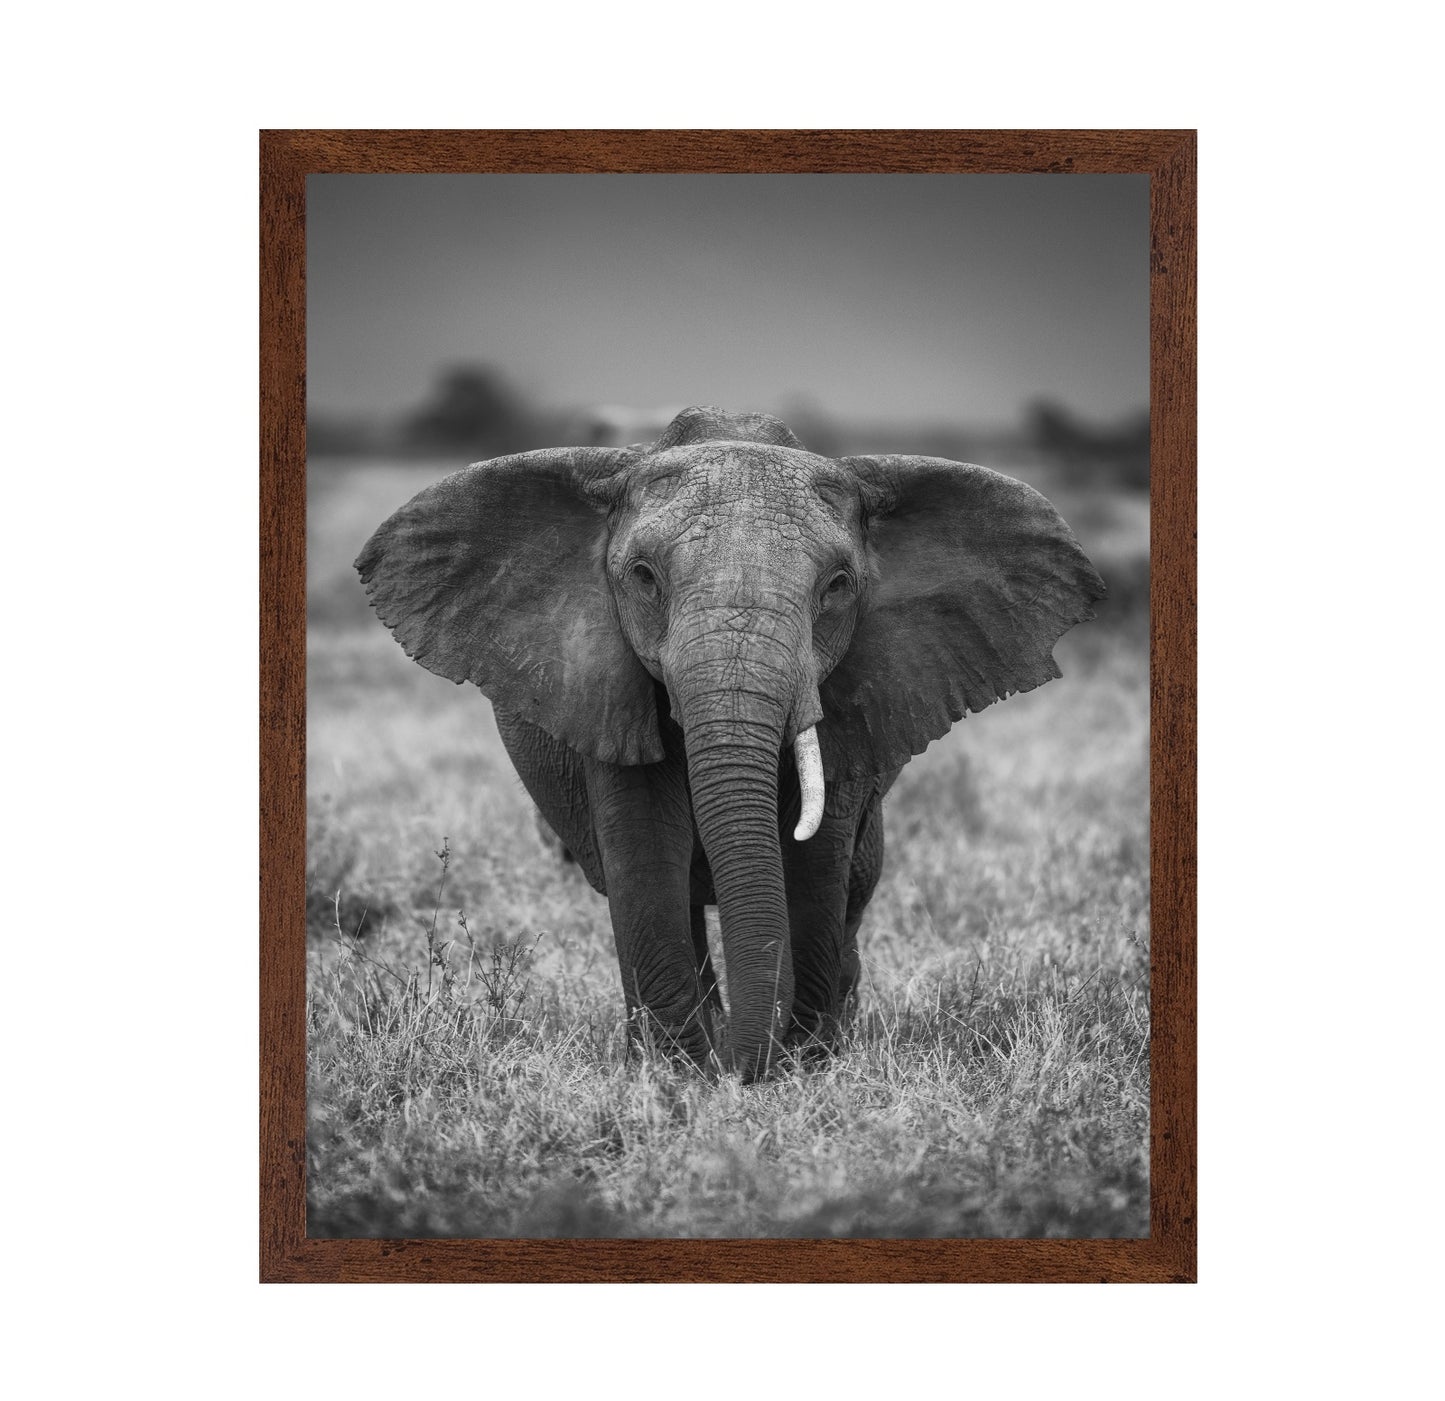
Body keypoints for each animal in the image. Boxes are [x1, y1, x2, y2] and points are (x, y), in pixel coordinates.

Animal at [356, 405, 1105, 1080]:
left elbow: (816, 861)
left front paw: (799, 1065)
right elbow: (644, 851)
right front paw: (680, 1074)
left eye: (838, 586)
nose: (745, 1069)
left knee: (856, 885)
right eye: (643, 577)